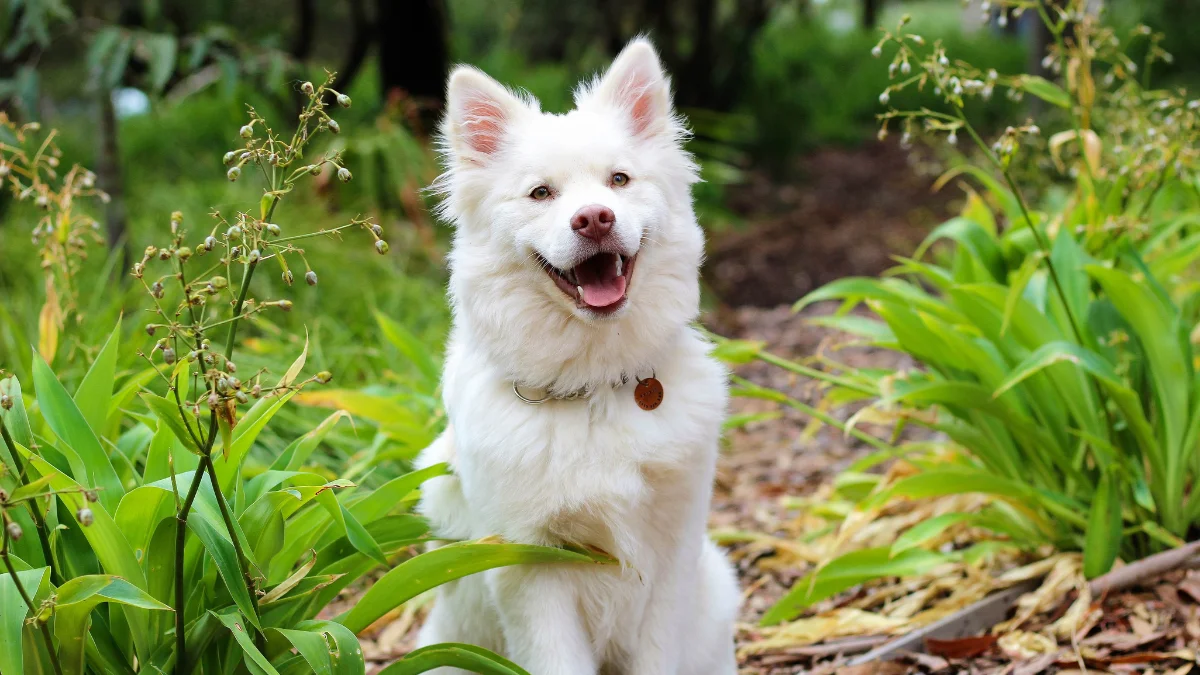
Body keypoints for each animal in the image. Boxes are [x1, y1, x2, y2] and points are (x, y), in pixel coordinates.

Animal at [420, 38, 739, 672]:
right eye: (541, 193)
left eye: (619, 180)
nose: (594, 218)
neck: (596, 386)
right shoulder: (530, 569)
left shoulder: (672, 555)